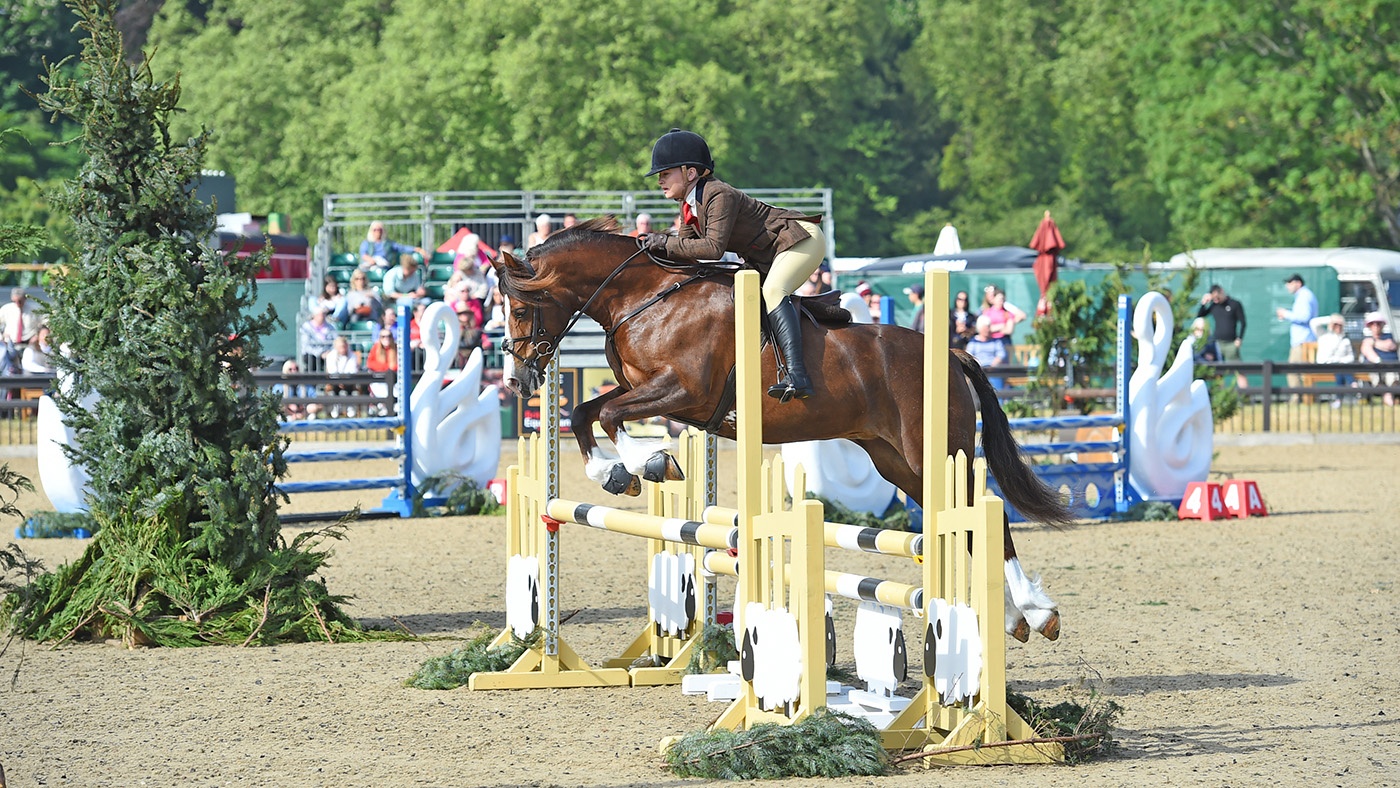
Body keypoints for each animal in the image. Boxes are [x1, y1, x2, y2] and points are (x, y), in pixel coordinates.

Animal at [491, 217, 1072, 641]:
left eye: (520, 307)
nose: (519, 381)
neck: (646, 297)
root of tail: (950, 353)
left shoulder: (683, 391)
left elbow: (608, 416)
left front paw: (643, 465)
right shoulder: (649, 391)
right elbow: (584, 412)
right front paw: (620, 472)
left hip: (933, 450)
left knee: (987, 515)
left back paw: (1038, 613)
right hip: (896, 460)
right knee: (962, 523)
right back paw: (1014, 618)